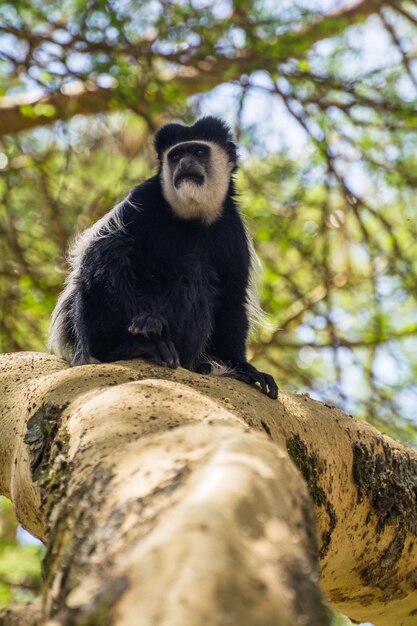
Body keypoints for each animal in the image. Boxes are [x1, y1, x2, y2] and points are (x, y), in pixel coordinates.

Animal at [48, 116, 276, 398]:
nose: (184, 163)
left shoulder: (232, 232)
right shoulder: (142, 199)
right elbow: (96, 251)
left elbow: (231, 300)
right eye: (175, 155)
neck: (191, 218)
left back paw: (153, 328)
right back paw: (126, 346)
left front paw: (244, 368)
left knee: (195, 271)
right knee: (111, 248)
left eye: (198, 152)